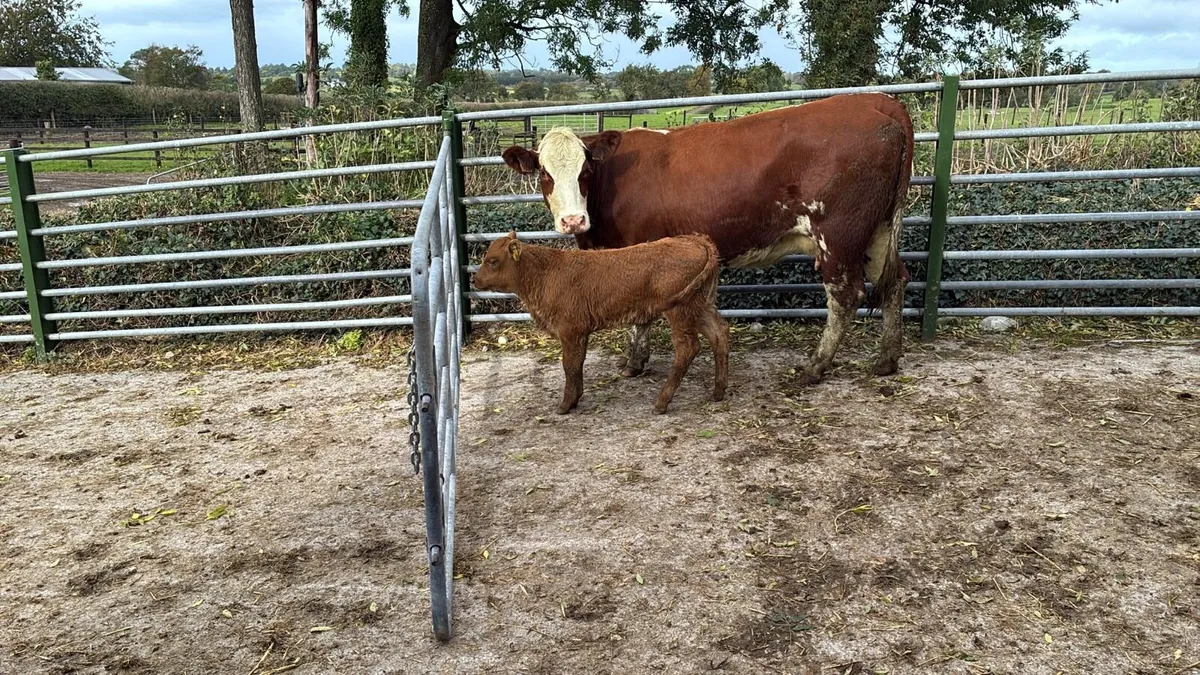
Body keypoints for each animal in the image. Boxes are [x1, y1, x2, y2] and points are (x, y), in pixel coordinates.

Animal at [471, 231, 730, 415]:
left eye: (492, 261)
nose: (475, 279)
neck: (546, 273)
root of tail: (696, 240)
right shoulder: (580, 332)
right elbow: (577, 364)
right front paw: (576, 398)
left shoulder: (570, 331)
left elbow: (569, 365)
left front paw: (565, 404)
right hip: (701, 306)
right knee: (719, 335)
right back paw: (718, 392)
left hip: (679, 312)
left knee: (688, 348)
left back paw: (661, 402)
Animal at [500, 92, 914, 385]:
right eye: (544, 174)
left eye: (585, 171)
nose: (573, 220)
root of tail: (876, 101)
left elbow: (640, 311)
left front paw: (635, 362)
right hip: (877, 231)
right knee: (895, 280)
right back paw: (886, 358)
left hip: (838, 235)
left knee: (845, 297)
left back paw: (816, 366)